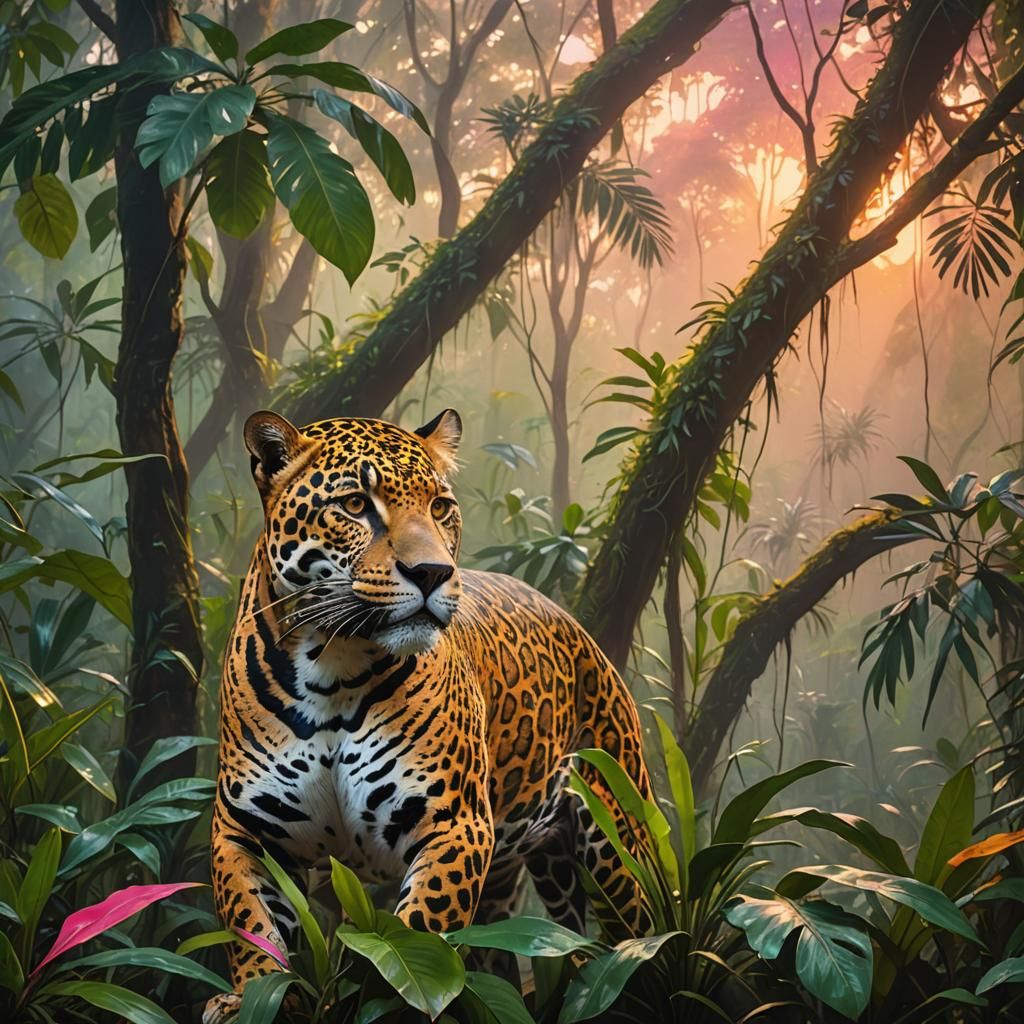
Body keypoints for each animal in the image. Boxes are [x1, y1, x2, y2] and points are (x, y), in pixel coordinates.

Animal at [204, 408, 651, 1022]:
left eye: (439, 506)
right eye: (355, 504)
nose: (433, 572)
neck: (332, 666)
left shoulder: (453, 823)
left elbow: (418, 933)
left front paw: (395, 1001)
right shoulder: (245, 830)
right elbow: (251, 926)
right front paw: (250, 997)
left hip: (617, 836)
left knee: (642, 932)